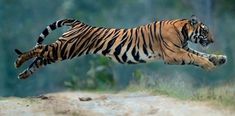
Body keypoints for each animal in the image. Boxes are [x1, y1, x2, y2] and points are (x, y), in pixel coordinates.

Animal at [14, 14, 226, 79]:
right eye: (205, 31)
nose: (213, 40)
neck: (183, 31)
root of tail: (79, 23)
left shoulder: (182, 48)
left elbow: (199, 54)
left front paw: (219, 59)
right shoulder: (173, 54)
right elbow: (195, 57)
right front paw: (209, 65)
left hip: (62, 51)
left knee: (40, 59)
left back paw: (23, 74)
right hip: (65, 48)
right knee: (39, 49)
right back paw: (18, 61)